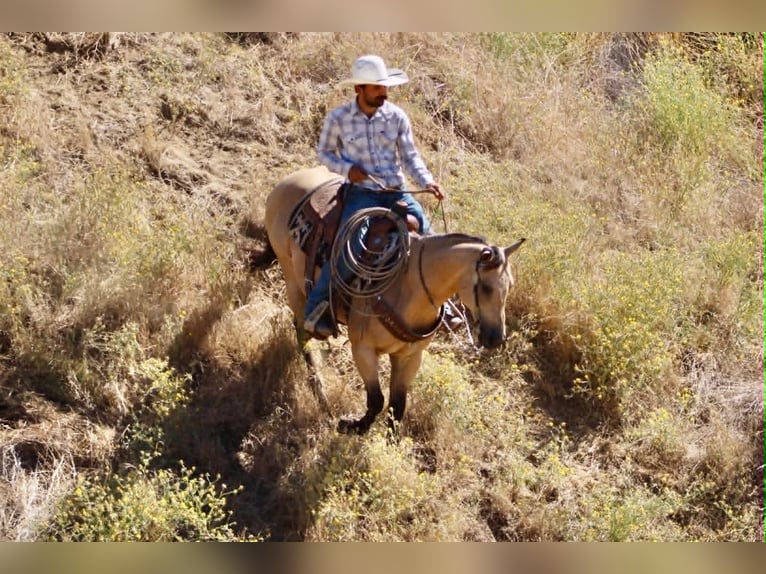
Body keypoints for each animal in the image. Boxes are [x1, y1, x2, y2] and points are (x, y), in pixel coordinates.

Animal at [265, 166, 525, 435]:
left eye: (510, 286)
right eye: (486, 287)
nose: (495, 338)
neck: (408, 288)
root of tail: (291, 180)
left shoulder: (410, 357)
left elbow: (397, 406)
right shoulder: (363, 349)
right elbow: (376, 399)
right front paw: (353, 426)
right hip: (291, 276)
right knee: (302, 333)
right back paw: (320, 389)